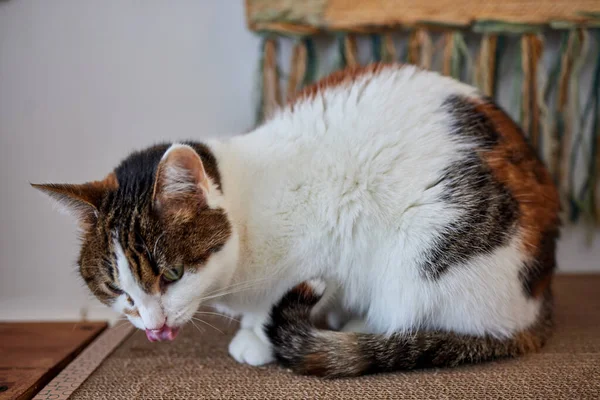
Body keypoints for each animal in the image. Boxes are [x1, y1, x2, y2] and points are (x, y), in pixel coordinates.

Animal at [32, 63, 556, 378]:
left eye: (173, 274)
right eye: (117, 289)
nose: (153, 327)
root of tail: (537, 301)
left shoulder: (323, 238)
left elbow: (280, 296)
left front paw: (255, 336)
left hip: (422, 255)